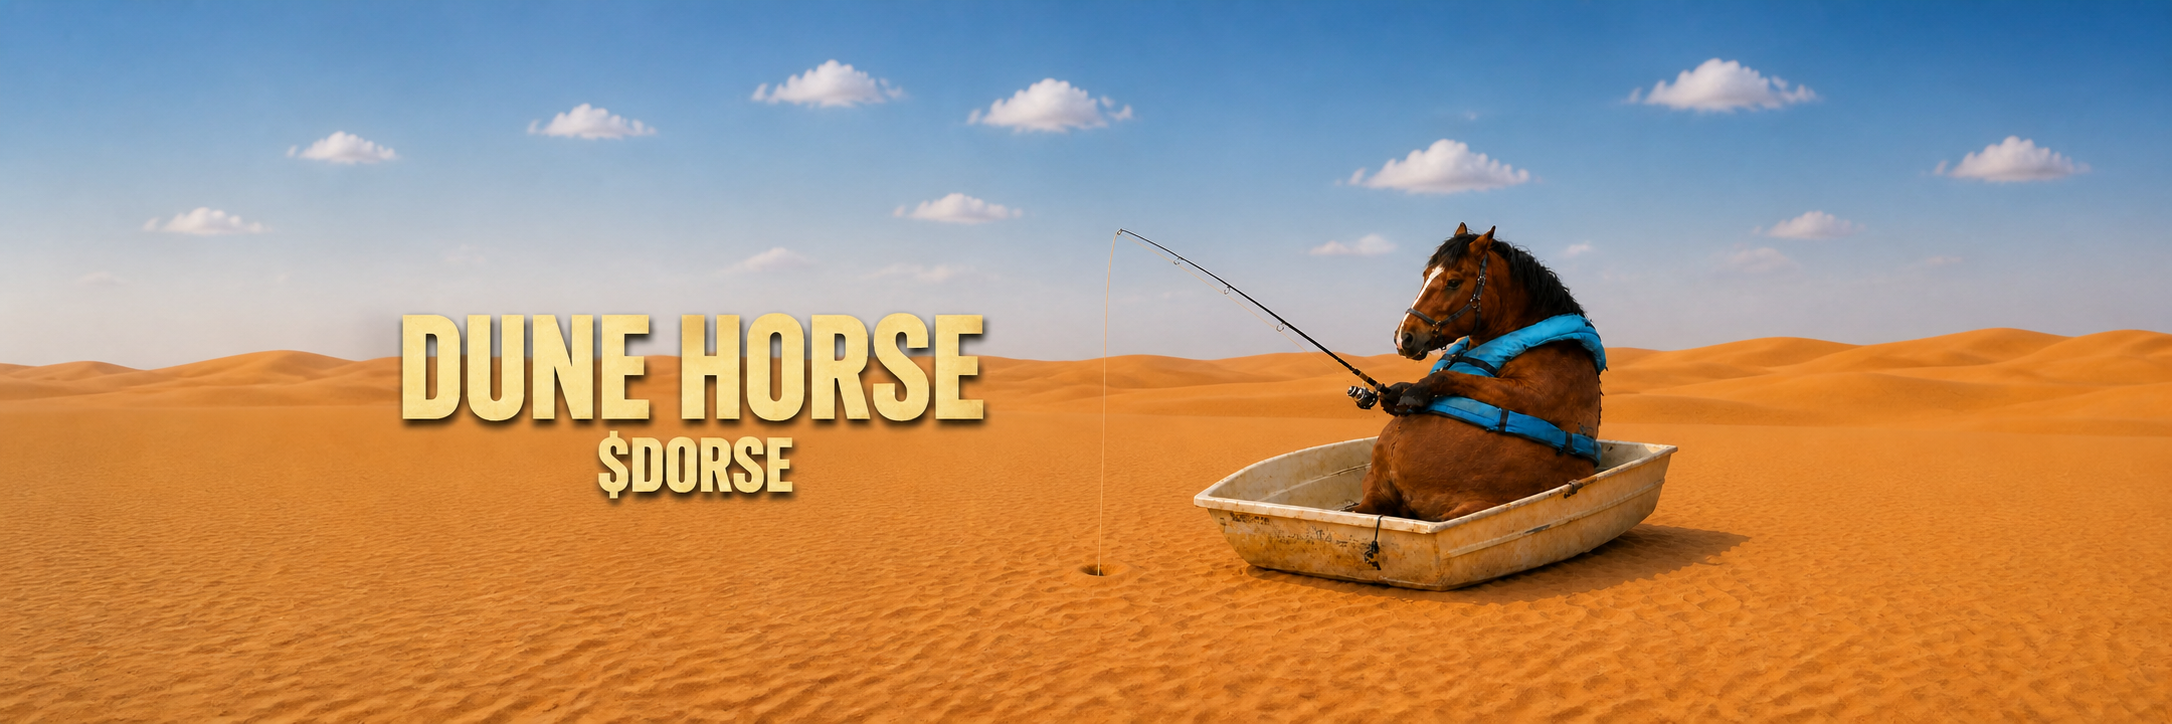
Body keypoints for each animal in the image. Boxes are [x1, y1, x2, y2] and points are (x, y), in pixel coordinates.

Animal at [1351, 224, 1605, 523]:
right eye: (1426, 276)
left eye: (1453, 282)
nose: (1404, 337)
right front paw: (1397, 392)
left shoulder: (1534, 397)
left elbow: (1450, 377)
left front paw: (1416, 392)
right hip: (1376, 492)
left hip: (1468, 507)